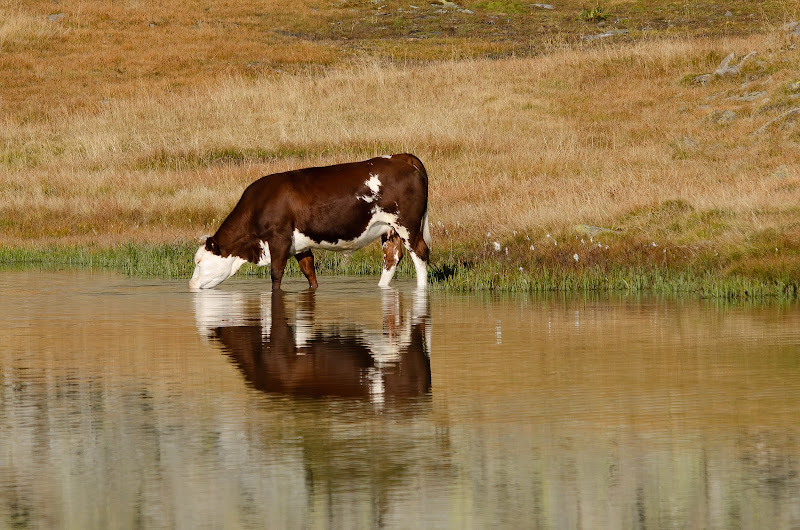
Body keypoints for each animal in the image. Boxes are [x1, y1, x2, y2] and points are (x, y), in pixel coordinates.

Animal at [188, 153, 432, 290]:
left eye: (199, 261)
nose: (190, 285)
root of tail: (400, 157)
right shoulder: (300, 246)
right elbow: (309, 273)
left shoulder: (279, 240)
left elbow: (276, 275)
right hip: (390, 229)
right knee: (392, 258)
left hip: (408, 225)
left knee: (420, 253)